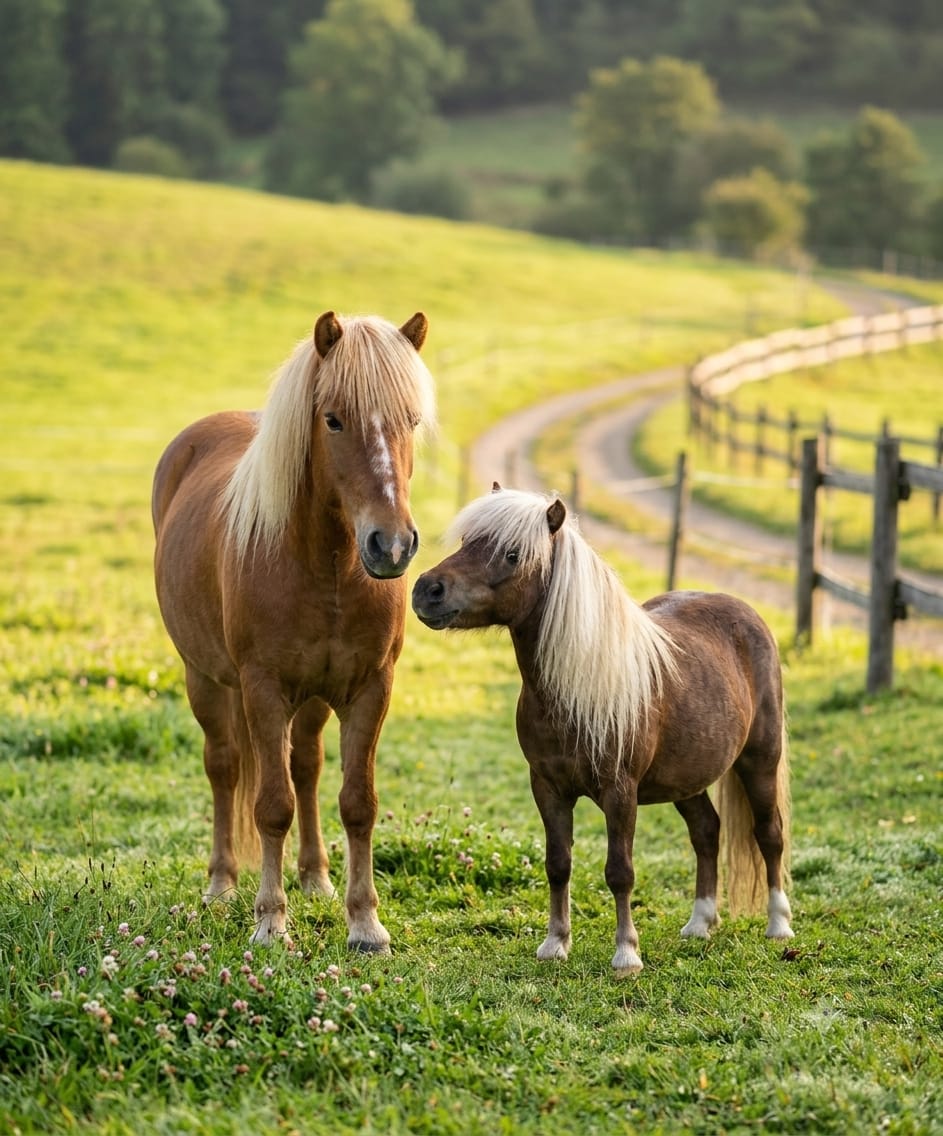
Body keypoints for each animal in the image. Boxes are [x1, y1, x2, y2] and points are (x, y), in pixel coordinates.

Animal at [152, 310, 435, 951]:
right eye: (333, 419)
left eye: (411, 419)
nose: (391, 545)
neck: (325, 567)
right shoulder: (263, 689)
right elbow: (271, 805)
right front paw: (270, 922)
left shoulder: (369, 689)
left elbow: (357, 802)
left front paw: (365, 922)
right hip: (206, 679)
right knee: (225, 766)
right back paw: (222, 884)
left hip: (314, 699)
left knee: (306, 765)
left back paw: (316, 878)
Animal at [412, 485, 793, 977]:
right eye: (466, 542)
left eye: (513, 554)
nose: (427, 590)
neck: (573, 690)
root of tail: (746, 613)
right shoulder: (547, 788)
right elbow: (558, 864)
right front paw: (555, 944)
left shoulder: (619, 792)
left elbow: (620, 871)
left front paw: (626, 953)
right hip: (686, 779)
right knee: (707, 831)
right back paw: (699, 923)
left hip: (759, 760)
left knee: (769, 833)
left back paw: (779, 924)